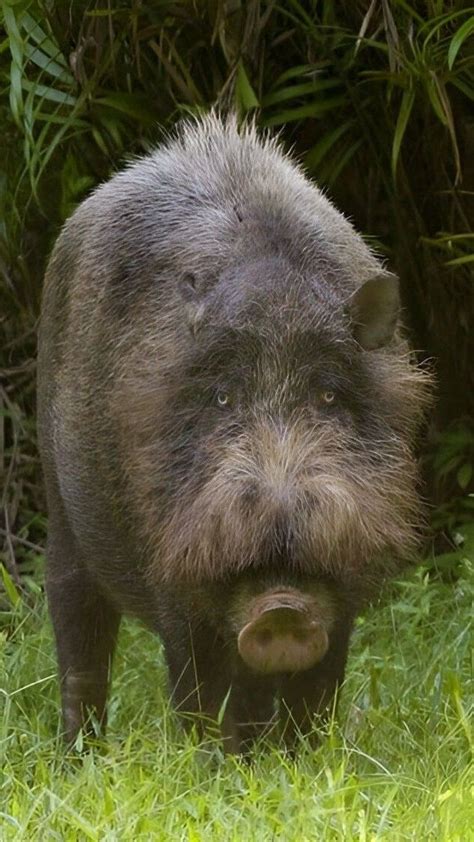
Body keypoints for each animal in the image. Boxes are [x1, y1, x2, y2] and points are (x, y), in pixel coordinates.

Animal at [37, 114, 431, 752]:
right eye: (223, 396)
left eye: (328, 395)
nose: (282, 610)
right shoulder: (171, 562)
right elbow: (197, 691)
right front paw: (212, 765)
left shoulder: (344, 585)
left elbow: (316, 694)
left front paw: (300, 762)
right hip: (60, 507)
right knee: (78, 631)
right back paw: (78, 758)